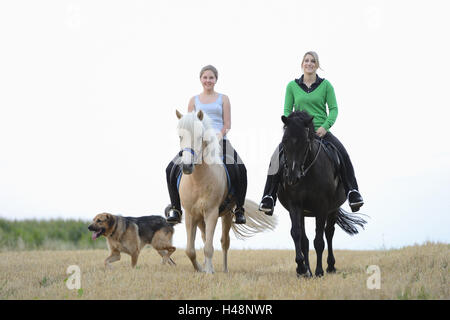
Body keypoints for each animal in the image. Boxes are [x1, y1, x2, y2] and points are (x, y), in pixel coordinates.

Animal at [175, 109, 274, 272]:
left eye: (200, 136)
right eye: (180, 136)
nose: (187, 167)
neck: (197, 180)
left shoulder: (212, 213)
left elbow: (209, 247)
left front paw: (209, 272)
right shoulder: (190, 214)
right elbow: (190, 250)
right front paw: (201, 269)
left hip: (227, 214)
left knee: (224, 242)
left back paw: (224, 270)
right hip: (200, 218)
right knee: (205, 238)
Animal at [276, 110, 368, 278]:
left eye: (305, 141)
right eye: (284, 140)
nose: (292, 177)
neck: (306, 172)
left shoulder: (322, 207)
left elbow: (319, 240)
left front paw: (319, 271)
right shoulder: (295, 205)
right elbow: (297, 234)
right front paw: (301, 269)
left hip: (333, 209)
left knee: (329, 233)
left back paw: (330, 266)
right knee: (305, 239)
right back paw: (308, 271)